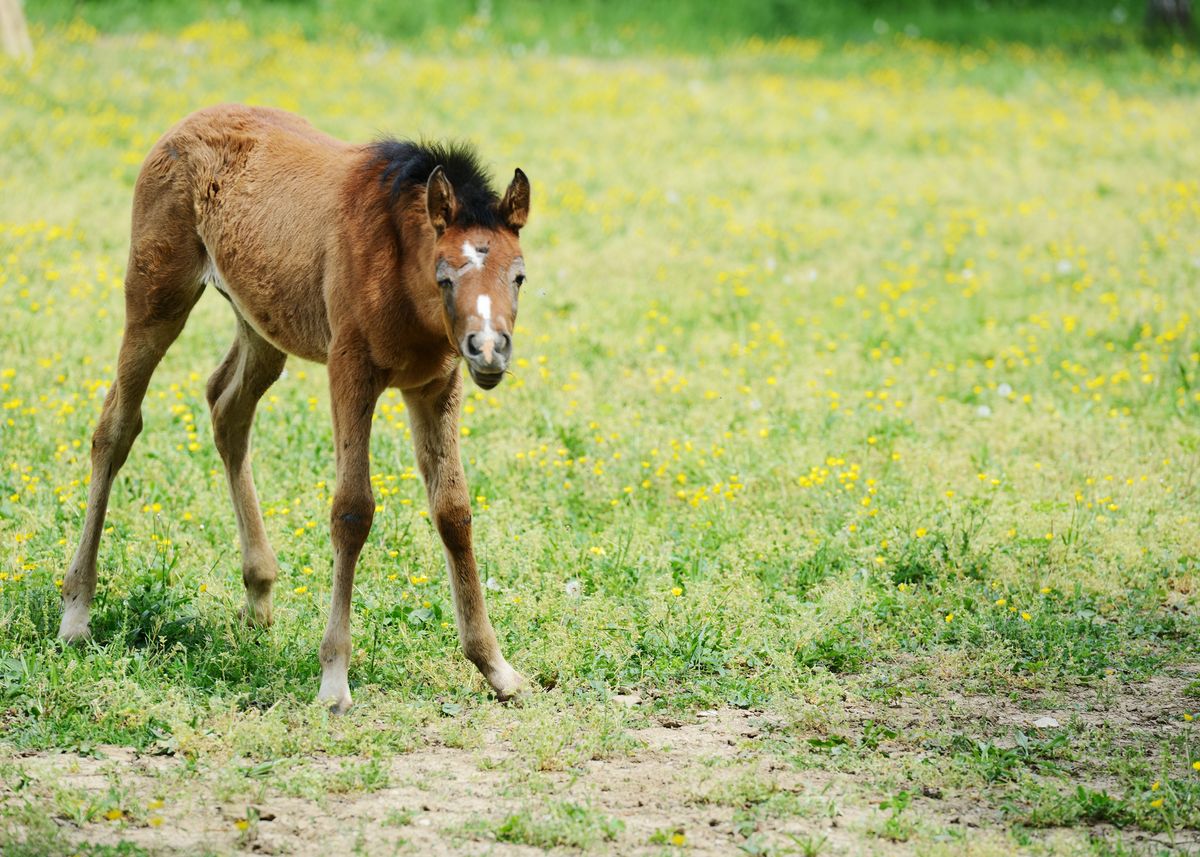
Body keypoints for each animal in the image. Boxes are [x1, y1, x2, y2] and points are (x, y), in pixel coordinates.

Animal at [57, 104, 532, 712]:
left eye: (518, 276)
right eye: (445, 276)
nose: (488, 350)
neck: (398, 266)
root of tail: (184, 124)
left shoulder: (436, 384)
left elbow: (453, 511)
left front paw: (496, 667)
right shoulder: (350, 372)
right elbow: (353, 511)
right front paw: (334, 679)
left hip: (260, 323)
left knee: (227, 408)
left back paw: (258, 595)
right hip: (155, 299)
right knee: (116, 428)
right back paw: (76, 611)